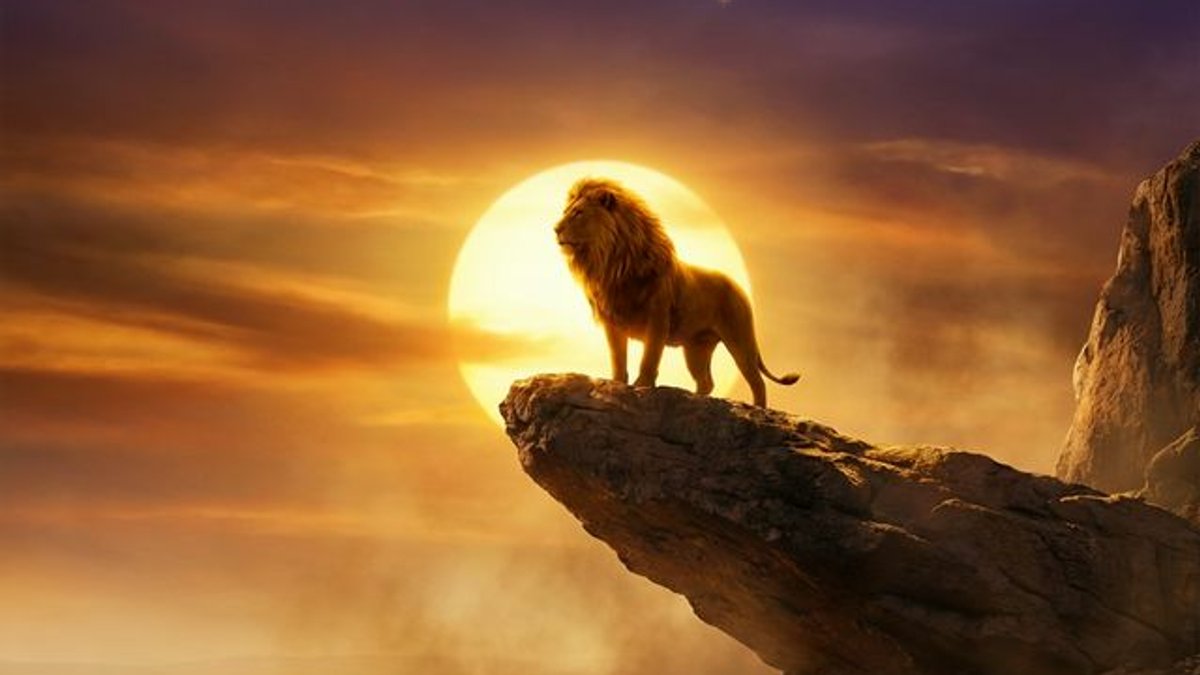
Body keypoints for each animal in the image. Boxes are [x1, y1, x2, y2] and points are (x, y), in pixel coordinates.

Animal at [554, 177, 799, 407]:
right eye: (566, 212)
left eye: (578, 213)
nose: (555, 229)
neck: (609, 262)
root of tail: (738, 286)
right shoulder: (613, 322)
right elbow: (618, 358)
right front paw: (617, 383)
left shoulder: (658, 318)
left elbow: (649, 357)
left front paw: (642, 386)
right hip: (696, 347)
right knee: (706, 381)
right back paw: (696, 399)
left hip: (739, 339)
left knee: (757, 380)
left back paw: (759, 409)